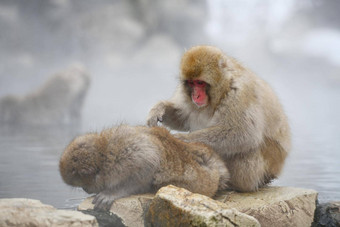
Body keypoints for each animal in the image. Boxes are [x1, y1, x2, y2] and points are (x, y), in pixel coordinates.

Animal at [59, 125, 228, 210]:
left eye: (83, 184)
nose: (86, 190)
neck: (105, 153)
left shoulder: (129, 154)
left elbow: (148, 166)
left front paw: (112, 193)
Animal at [147, 45, 292, 192]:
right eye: (191, 83)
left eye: (200, 83)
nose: (195, 96)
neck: (224, 87)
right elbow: (183, 119)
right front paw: (159, 109)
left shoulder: (239, 93)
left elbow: (244, 133)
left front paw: (180, 139)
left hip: (265, 165)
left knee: (247, 149)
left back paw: (232, 183)